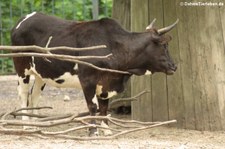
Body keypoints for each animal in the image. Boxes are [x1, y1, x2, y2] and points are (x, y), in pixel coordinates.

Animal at [11, 12, 178, 136]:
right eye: (164, 45)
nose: (174, 66)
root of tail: (24, 19)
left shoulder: (106, 83)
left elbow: (103, 107)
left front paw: (106, 129)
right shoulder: (88, 80)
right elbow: (93, 106)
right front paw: (93, 131)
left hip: (41, 74)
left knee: (34, 96)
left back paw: (34, 125)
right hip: (22, 67)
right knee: (23, 94)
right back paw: (25, 125)